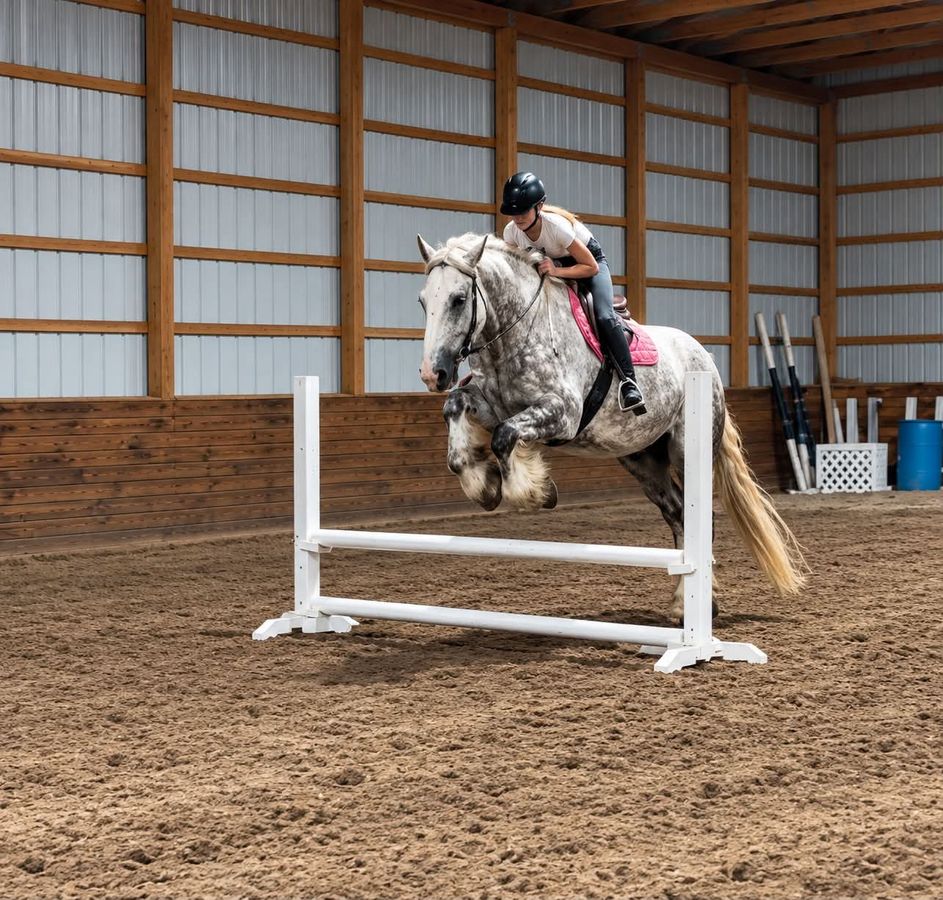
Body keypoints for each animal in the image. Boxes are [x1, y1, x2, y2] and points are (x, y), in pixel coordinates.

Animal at [416, 232, 806, 623]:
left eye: (459, 299)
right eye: (422, 300)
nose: (433, 374)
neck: (516, 333)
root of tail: (703, 357)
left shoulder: (562, 413)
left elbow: (504, 436)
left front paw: (537, 493)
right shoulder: (490, 404)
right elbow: (457, 413)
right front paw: (483, 486)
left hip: (686, 452)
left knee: (699, 520)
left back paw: (699, 606)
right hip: (642, 460)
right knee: (677, 514)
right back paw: (685, 604)